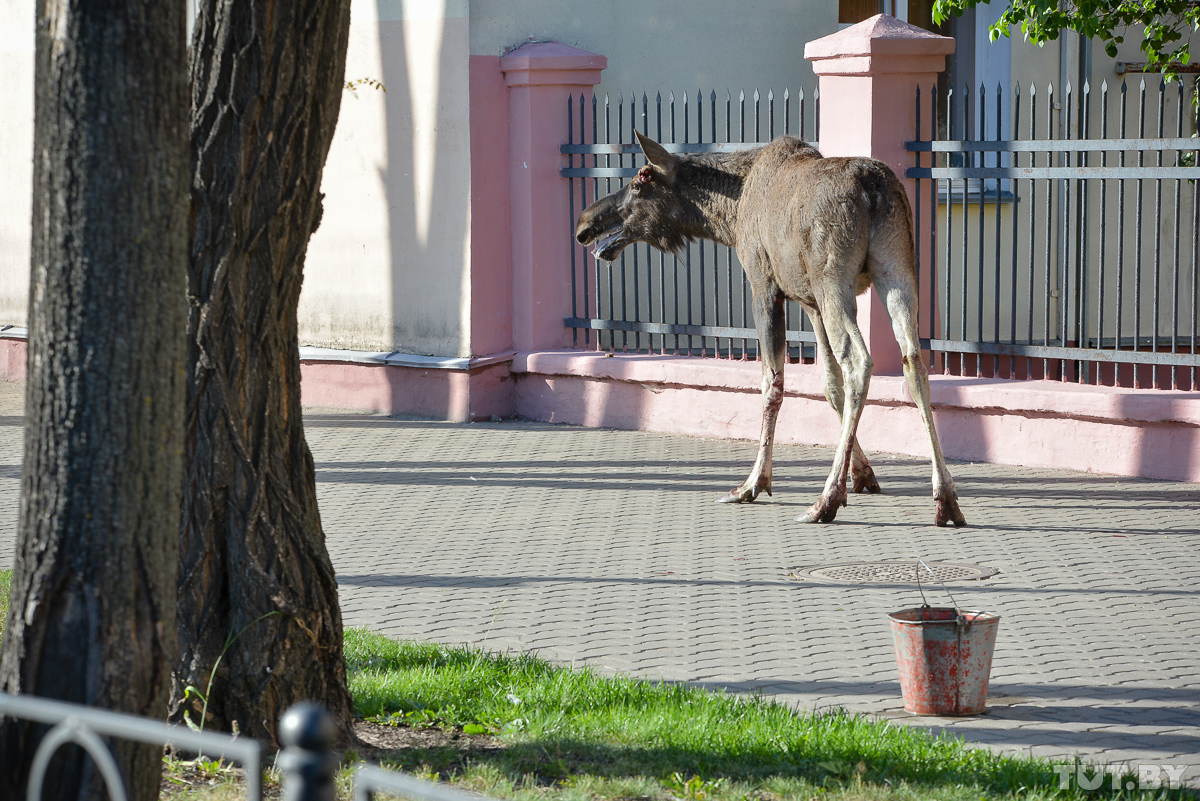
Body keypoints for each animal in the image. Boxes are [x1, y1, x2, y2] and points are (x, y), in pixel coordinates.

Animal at [573, 134, 964, 527]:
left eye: (641, 179)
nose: (584, 222)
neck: (729, 215)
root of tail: (874, 185)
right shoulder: (809, 302)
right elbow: (829, 385)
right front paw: (862, 474)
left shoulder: (764, 285)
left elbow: (771, 384)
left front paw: (753, 482)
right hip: (897, 269)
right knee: (913, 362)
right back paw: (945, 496)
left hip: (834, 279)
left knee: (859, 362)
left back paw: (825, 499)